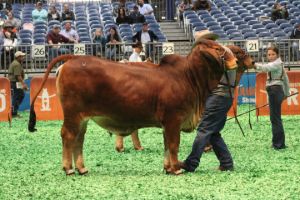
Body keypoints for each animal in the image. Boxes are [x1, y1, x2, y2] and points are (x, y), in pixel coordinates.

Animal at [29, 38, 238, 175]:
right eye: (217, 48)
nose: (236, 60)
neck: (188, 77)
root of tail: (73, 59)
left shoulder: (167, 123)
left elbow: (166, 145)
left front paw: (168, 167)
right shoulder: (173, 119)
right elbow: (173, 144)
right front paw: (176, 169)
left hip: (83, 118)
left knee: (78, 140)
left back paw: (81, 168)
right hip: (73, 114)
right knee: (68, 136)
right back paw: (68, 169)